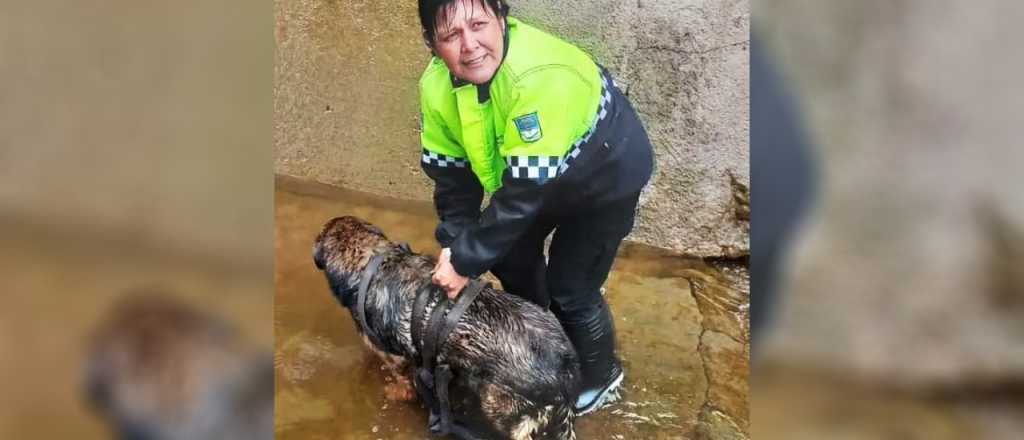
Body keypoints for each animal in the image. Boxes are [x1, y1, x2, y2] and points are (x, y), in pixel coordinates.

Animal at [311, 216, 585, 440]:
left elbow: (399, 377)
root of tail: (566, 367)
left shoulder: (392, 356)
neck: (371, 260)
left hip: (503, 410)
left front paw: (397, 391)